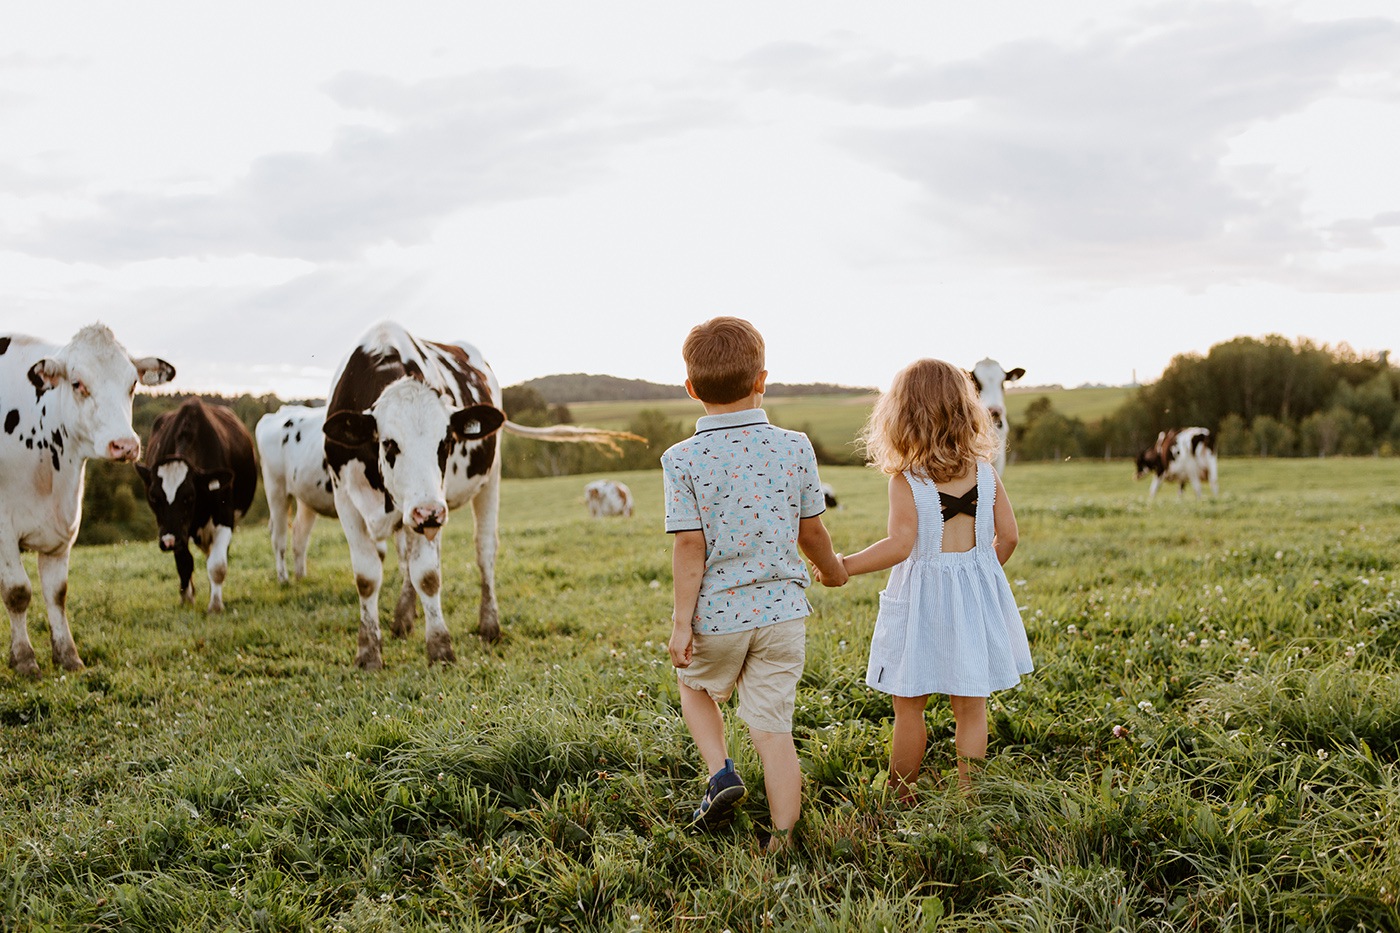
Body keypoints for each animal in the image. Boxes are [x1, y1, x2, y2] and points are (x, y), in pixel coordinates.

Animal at [1, 323, 175, 672]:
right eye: (78, 383)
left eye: (132, 383)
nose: (125, 445)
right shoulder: (3, 527)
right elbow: (17, 591)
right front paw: (25, 659)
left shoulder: (62, 529)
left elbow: (57, 593)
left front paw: (68, 656)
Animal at [136, 397, 260, 610]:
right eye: (154, 497)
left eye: (189, 496)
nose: (168, 541)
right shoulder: (178, 530)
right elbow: (184, 562)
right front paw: (187, 598)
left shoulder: (225, 516)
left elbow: (218, 564)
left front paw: (216, 605)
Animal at [320, 322, 641, 669]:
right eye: (389, 443)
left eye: (446, 442)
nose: (429, 512)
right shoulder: (345, 500)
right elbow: (367, 577)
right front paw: (368, 653)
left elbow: (428, 575)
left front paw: (440, 648)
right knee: (407, 554)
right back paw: (403, 618)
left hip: (488, 481)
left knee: (483, 550)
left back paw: (489, 625)